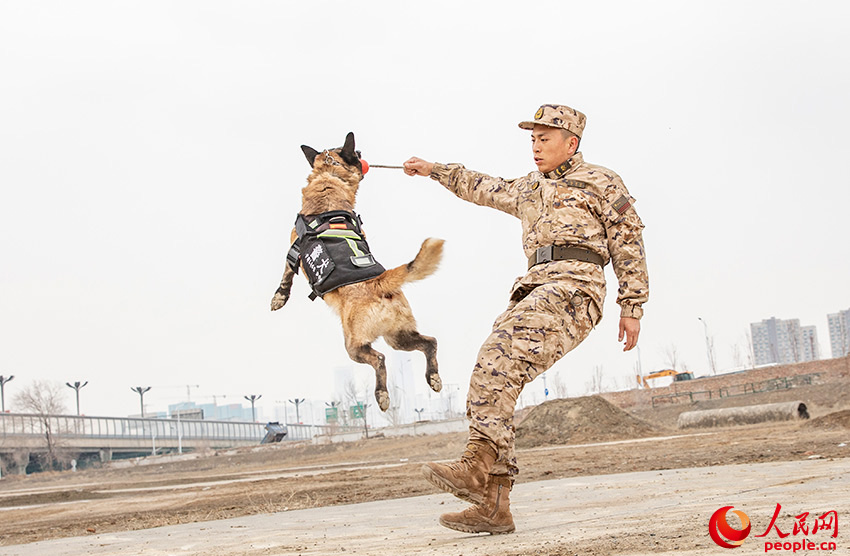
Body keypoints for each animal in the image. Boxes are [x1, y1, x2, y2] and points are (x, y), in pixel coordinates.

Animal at [272, 132, 444, 410]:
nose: (362, 153)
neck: (330, 176)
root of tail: (380, 281)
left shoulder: (291, 253)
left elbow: (286, 277)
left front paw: (279, 298)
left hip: (354, 345)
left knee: (380, 359)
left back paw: (382, 395)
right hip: (399, 337)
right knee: (430, 343)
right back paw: (434, 378)